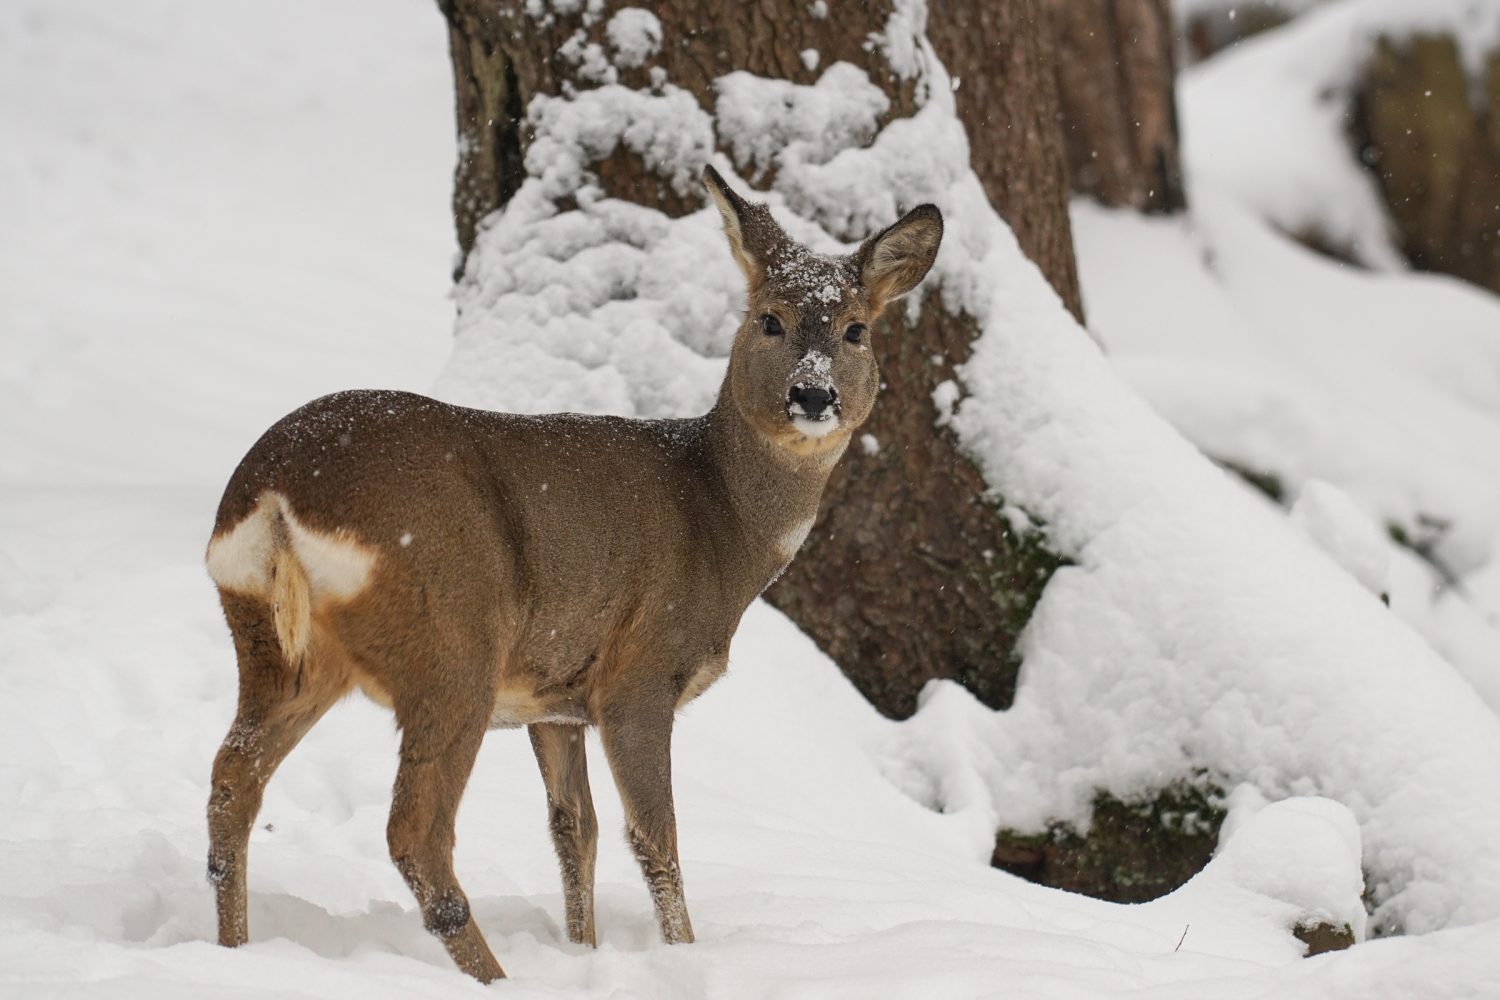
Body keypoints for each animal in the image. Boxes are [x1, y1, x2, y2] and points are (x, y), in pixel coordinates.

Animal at [205, 166, 942, 983]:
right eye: (770, 320)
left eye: (856, 330)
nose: (813, 396)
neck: (721, 519)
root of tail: (276, 491)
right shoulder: (638, 676)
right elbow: (655, 838)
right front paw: (683, 957)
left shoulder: (555, 696)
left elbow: (574, 829)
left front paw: (582, 951)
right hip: (452, 644)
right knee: (415, 832)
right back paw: (494, 976)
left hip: (277, 645)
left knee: (232, 781)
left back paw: (232, 951)